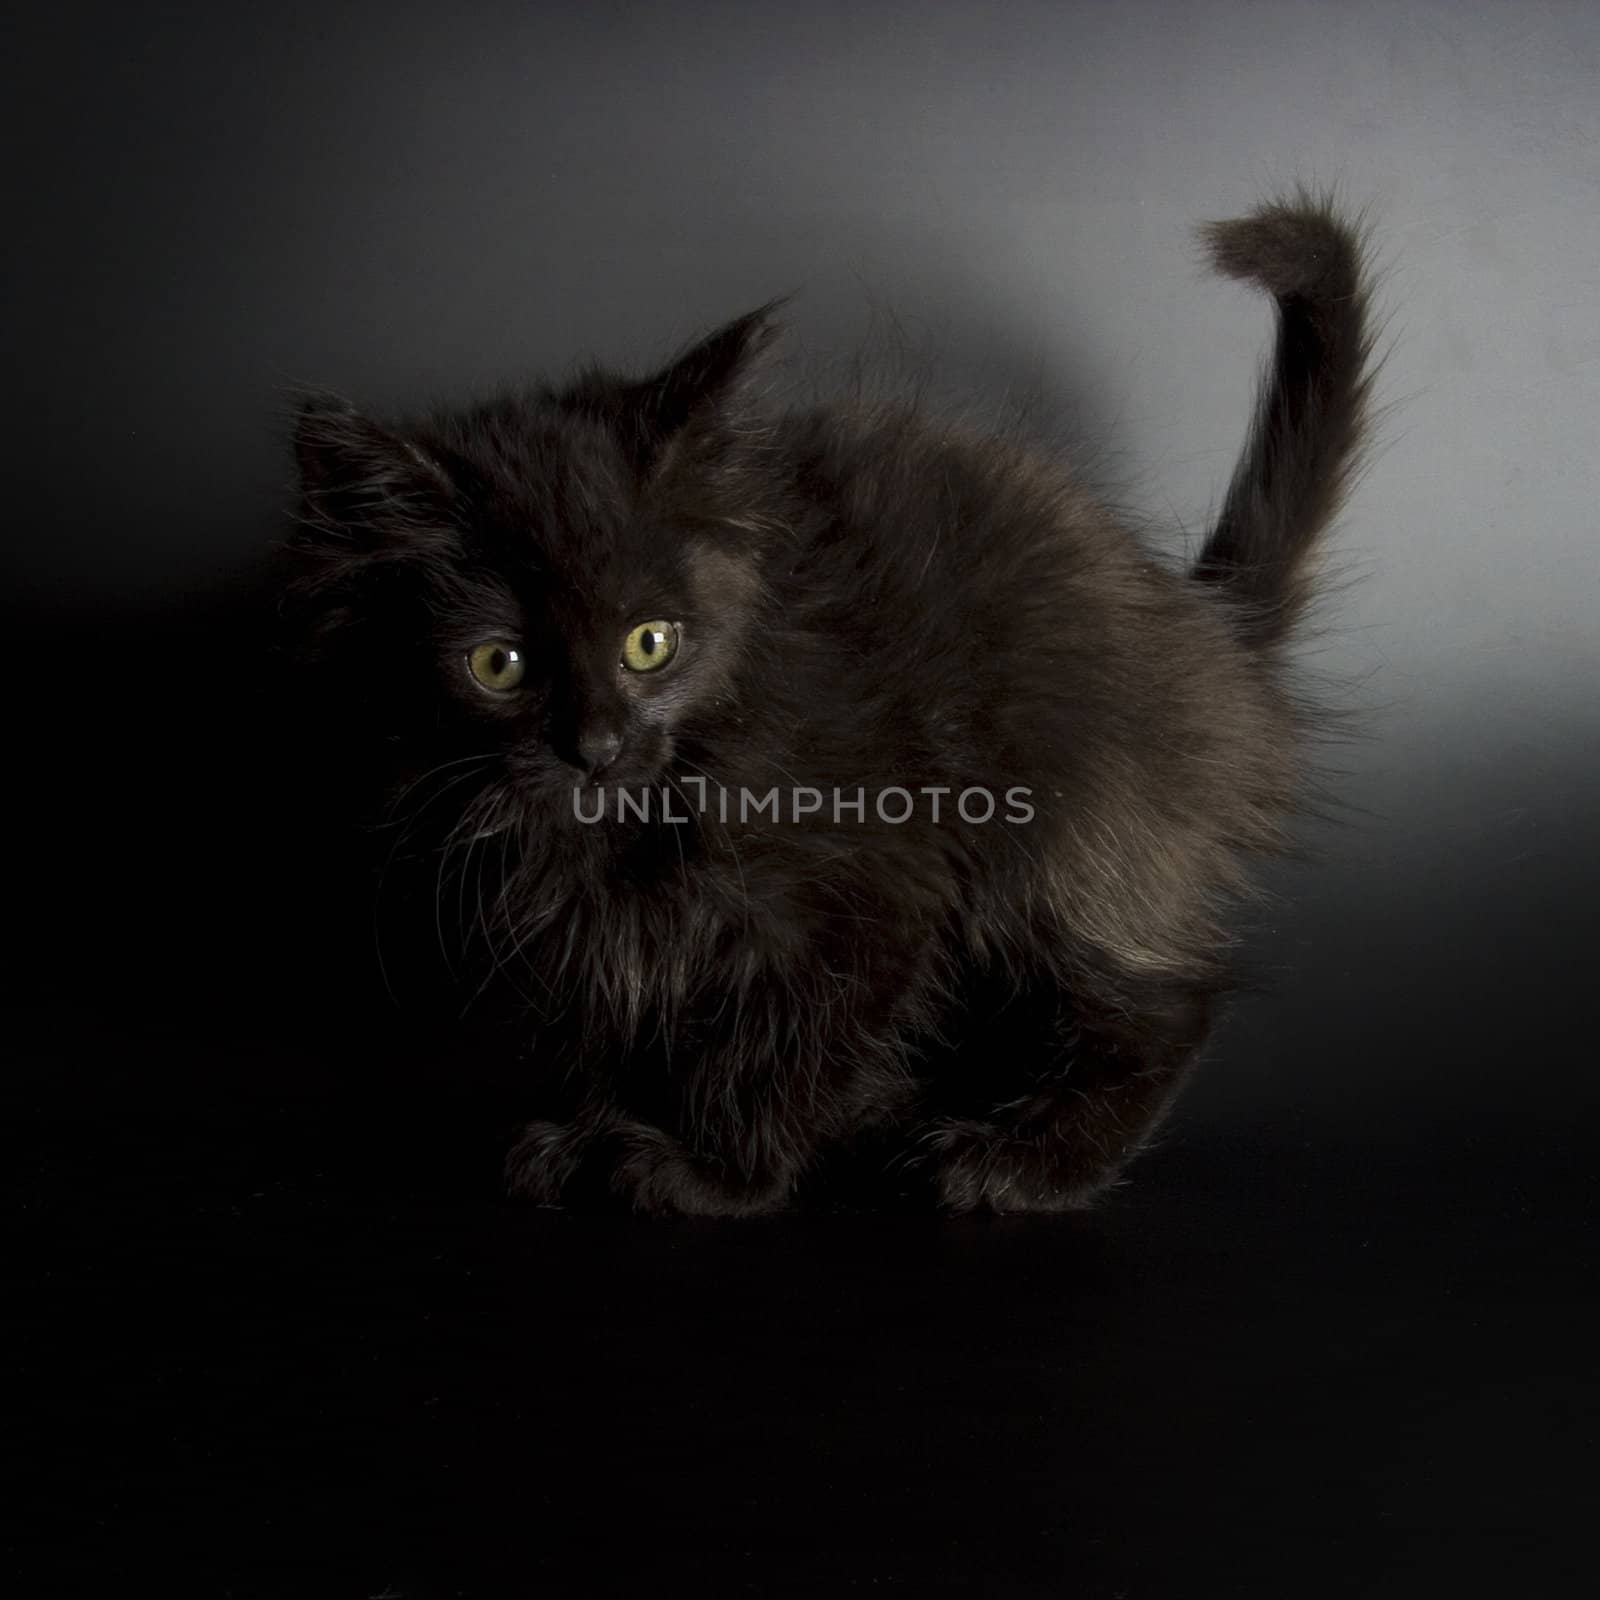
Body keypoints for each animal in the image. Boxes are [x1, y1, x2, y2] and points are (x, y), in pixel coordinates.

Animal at [284, 190, 1376, 1209]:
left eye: (650, 643)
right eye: (498, 665)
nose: (596, 746)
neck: (634, 821)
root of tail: (1208, 632)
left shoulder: (877, 880)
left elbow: (782, 1045)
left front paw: (712, 1173)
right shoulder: (607, 929)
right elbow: (634, 1019)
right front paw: (588, 1133)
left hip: (1075, 820)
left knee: (1160, 999)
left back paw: (1021, 1161)